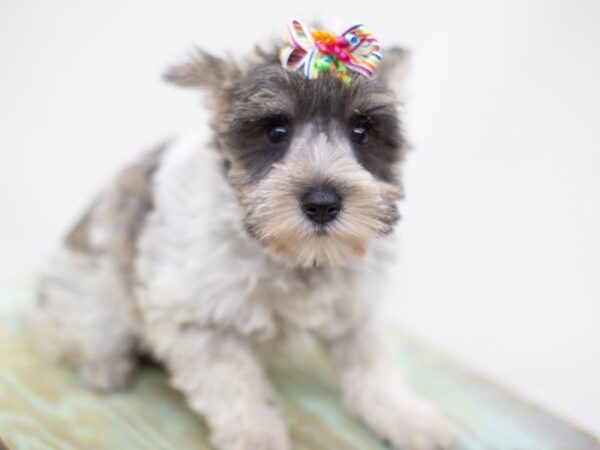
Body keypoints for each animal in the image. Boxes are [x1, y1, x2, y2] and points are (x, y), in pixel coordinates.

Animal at [32, 21, 452, 450]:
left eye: (361, 131)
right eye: (276, 131)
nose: (322, 204)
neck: (293, 258)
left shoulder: (355, 310)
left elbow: (374, 363)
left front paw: (407, 416)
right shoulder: (199, 320)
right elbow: (234, 383)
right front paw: (255, 433)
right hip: (94, 304)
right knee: (67, 334)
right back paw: (106, 366)